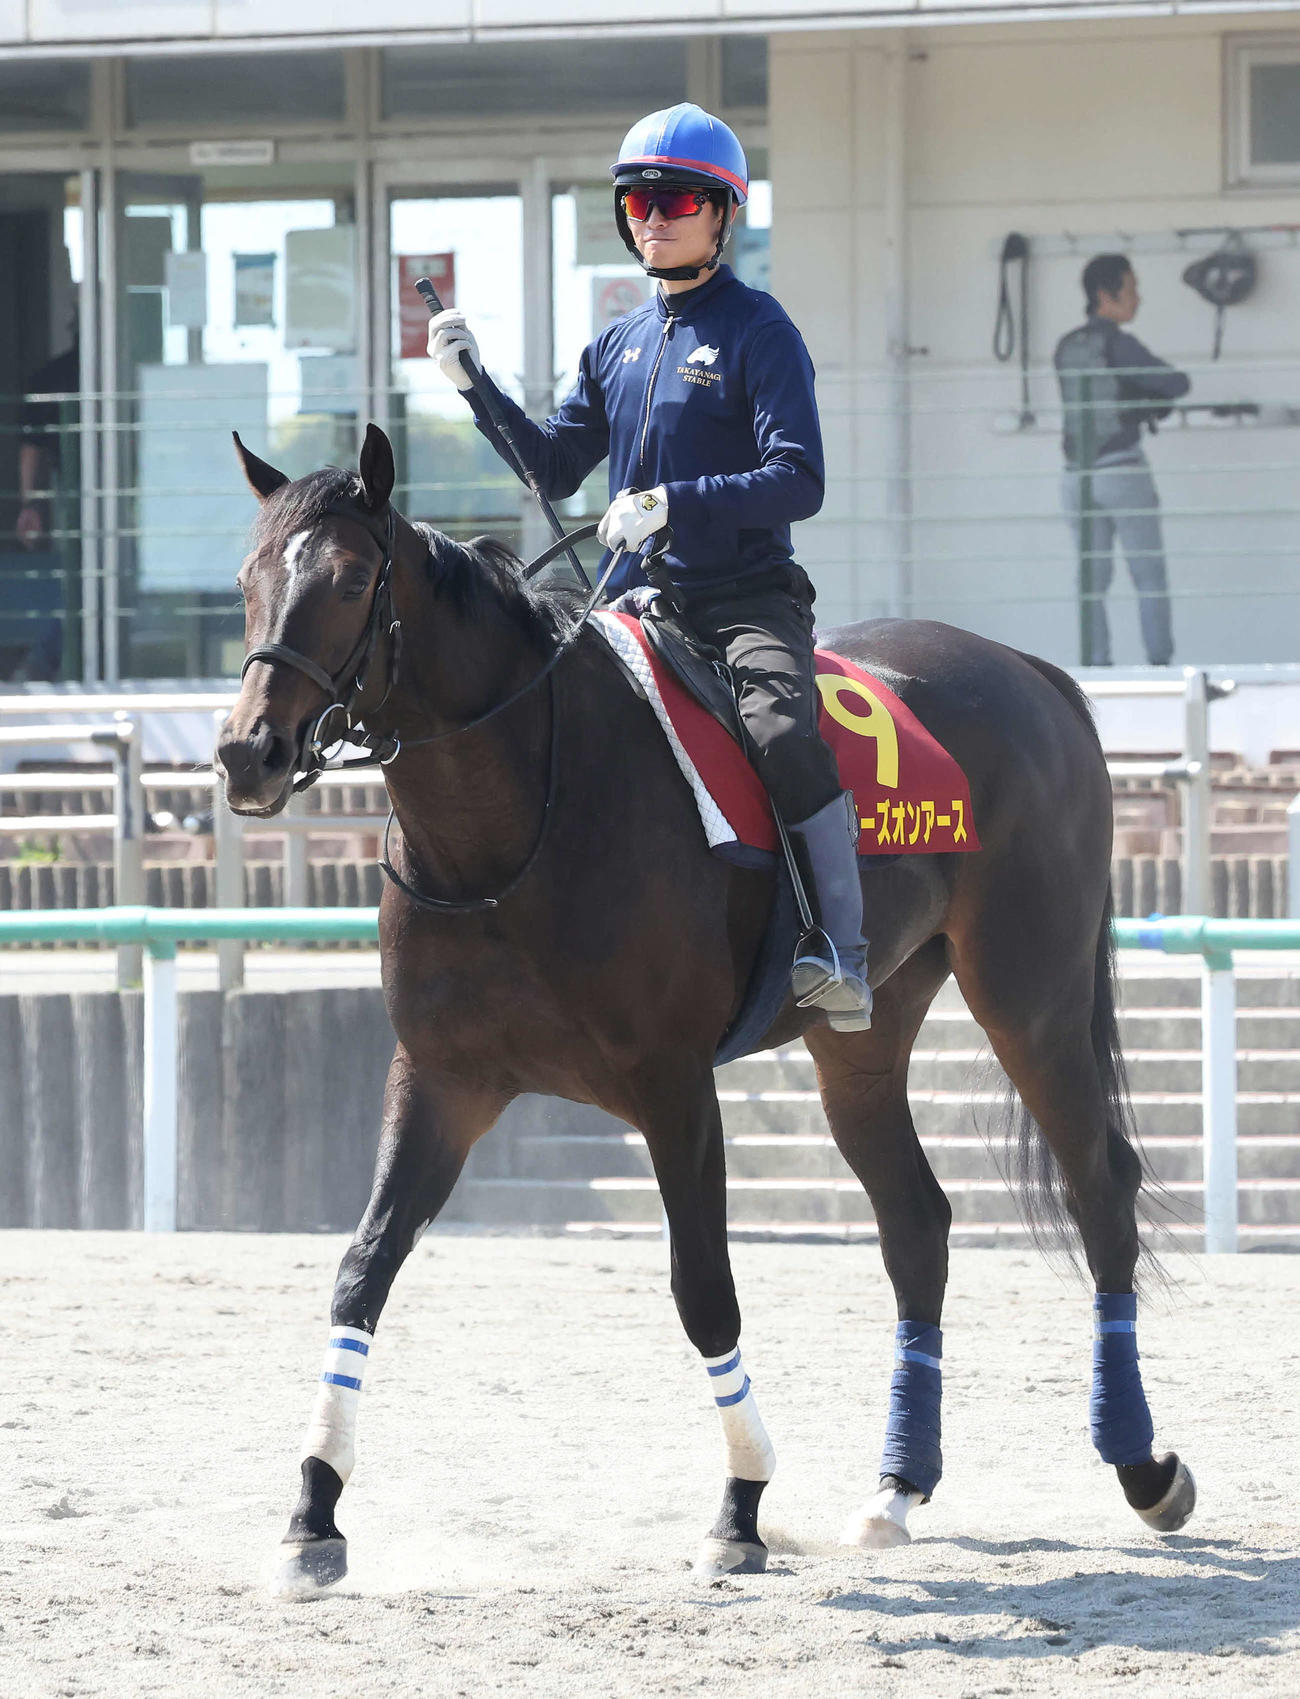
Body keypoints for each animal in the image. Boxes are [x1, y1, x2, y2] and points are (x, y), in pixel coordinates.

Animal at [217, 424, 1195, 1595]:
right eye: (246, 580)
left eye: (352, 579)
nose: (248, 753)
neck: (520, 814)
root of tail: (1034, 674)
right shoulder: (440, 1079)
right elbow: (362, 1269)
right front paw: (312, 1509)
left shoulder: (673, 1088)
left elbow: (704, 1288)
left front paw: (740, 1504)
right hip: (863, 1042)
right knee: (917, 1222)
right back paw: (897, 1488)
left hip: (1029, 1000)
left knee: (1101, 1188)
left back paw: (1142, 1463)